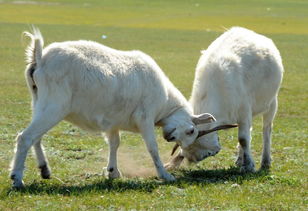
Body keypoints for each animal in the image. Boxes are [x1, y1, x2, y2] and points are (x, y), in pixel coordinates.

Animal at [10, 26, 217, 188]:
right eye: (191, 131)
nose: (171, 137)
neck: (164, 102)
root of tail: (40, 58)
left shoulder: (113, 122)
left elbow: (114, 143)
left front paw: (113, 171)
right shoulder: (145, 117)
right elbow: (152, 147)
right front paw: (165, 175)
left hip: (39, 103)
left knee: (36, 137)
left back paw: (44, 170)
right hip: (54, 106)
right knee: (25, 137)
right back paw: (17, 178)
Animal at [166, 26, 284, 171]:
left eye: (192, 132)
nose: (196, 158)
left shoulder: (244, 111)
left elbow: (243, 139)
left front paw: (249, 165)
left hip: (272, 102)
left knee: (266, 129)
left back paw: (265, 161)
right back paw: (240, 159)